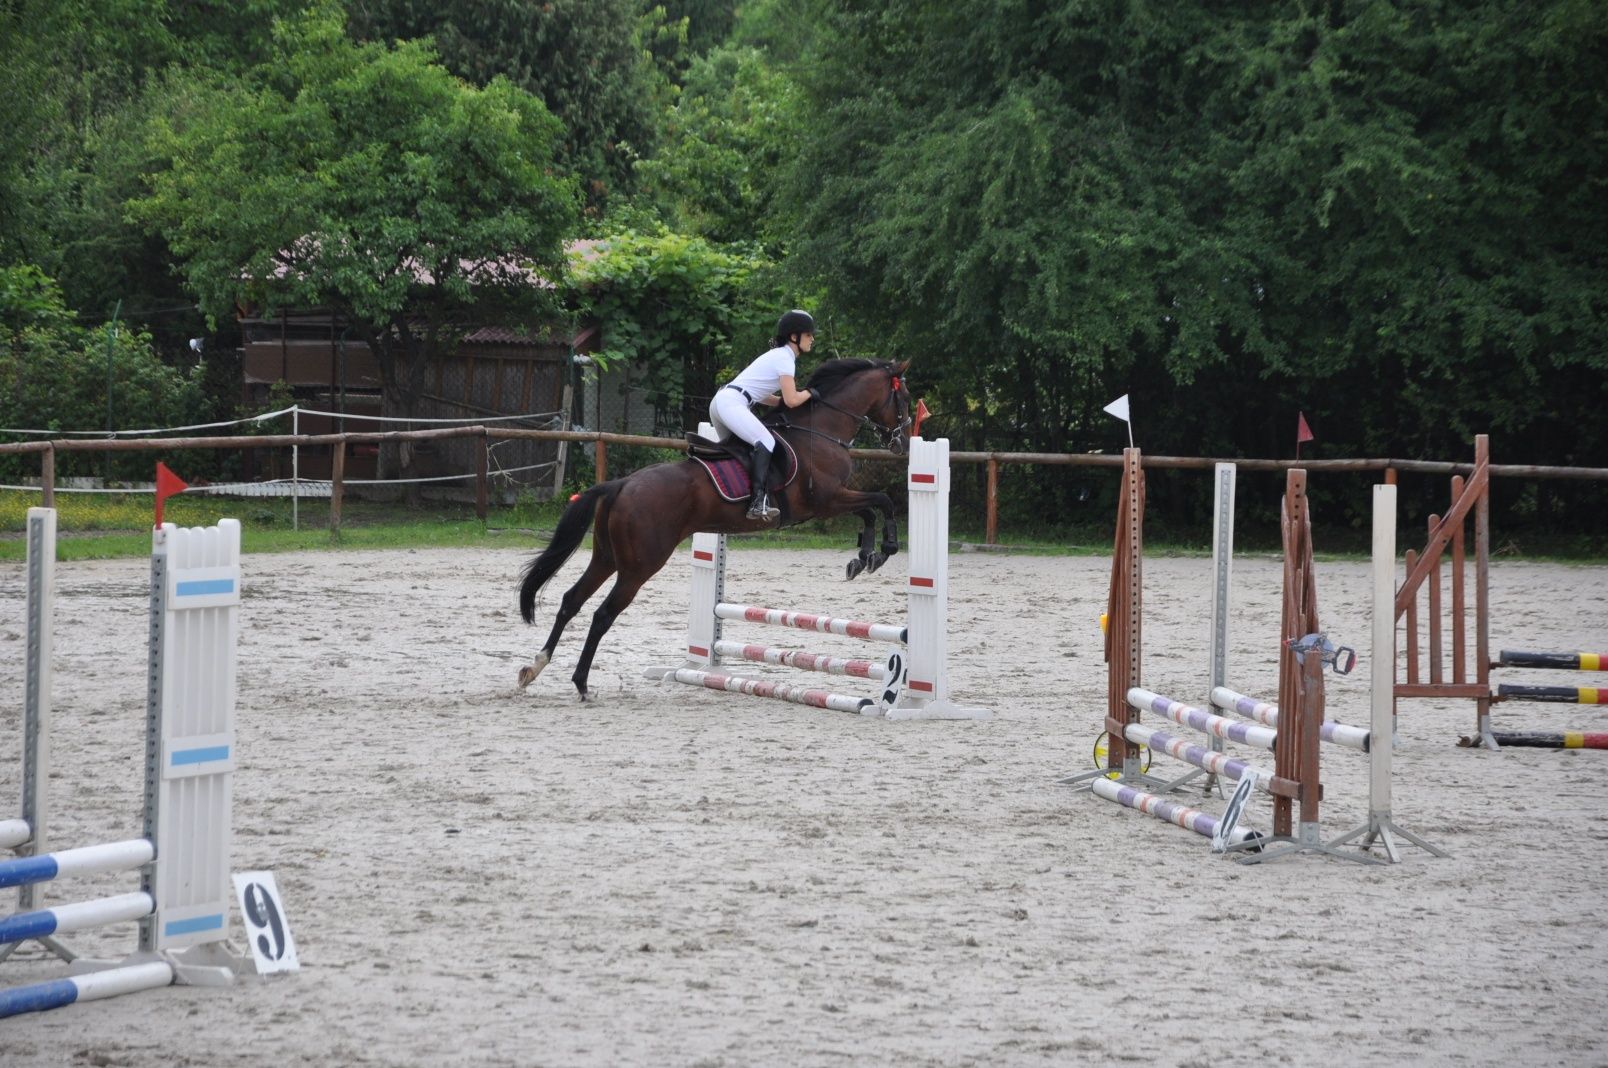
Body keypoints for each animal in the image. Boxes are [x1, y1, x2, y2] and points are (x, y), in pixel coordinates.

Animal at [517, 357, 913, 701]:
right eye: (905, 398)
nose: (903, 443)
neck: (822, 429)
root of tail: (622, 484)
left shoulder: (833, 501)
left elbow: (871, 511)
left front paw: (863, 557)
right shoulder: (827, 500)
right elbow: (881, 503)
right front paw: (879, 553)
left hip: (607, 557)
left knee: (571, 601)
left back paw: (535, 667)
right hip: (639, 567)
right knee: (602, 614)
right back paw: (581, 683)